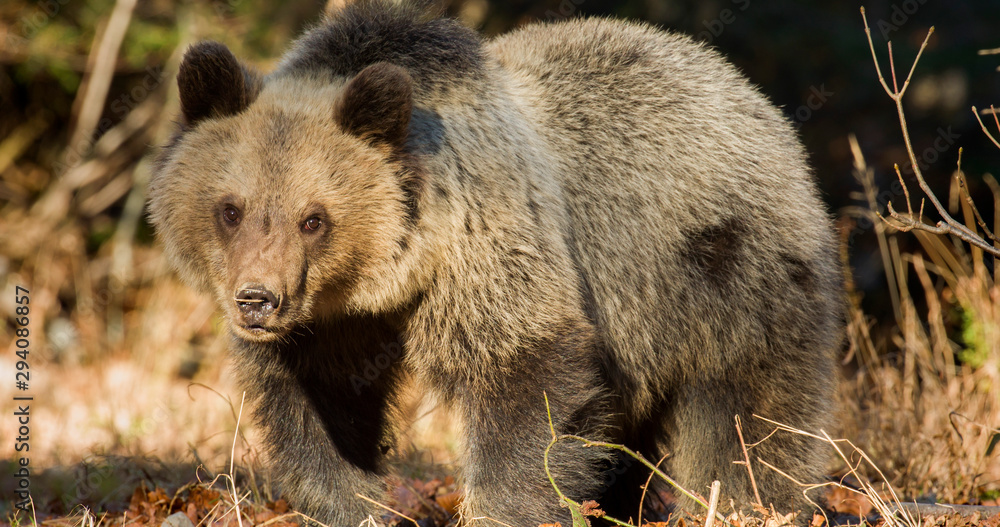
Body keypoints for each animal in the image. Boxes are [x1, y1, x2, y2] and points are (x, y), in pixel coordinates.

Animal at [147, 1, 842, 525]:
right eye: (231, 209)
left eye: (313, 218)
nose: (257, 300)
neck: (386, 277)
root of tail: (748, 93)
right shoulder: (330, 329)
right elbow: (320, 412)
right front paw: (352, 504)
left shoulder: (487, 238)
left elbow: (524, 379)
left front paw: (504, 509)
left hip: (724, 274)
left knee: (752, 416)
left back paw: (753, 502)